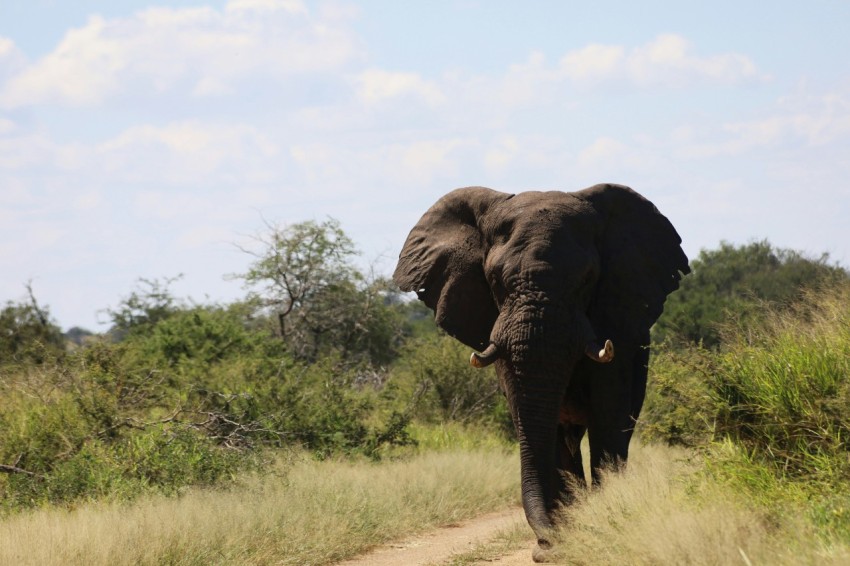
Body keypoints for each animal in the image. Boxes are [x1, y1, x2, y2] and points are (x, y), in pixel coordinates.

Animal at [394, 183, 684, 564]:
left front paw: (602, 522)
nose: (543, 547)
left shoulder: (617, 320)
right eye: (494, 280)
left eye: (587, 279)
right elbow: (543, 426)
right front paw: (565, 537)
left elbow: (608, 415)